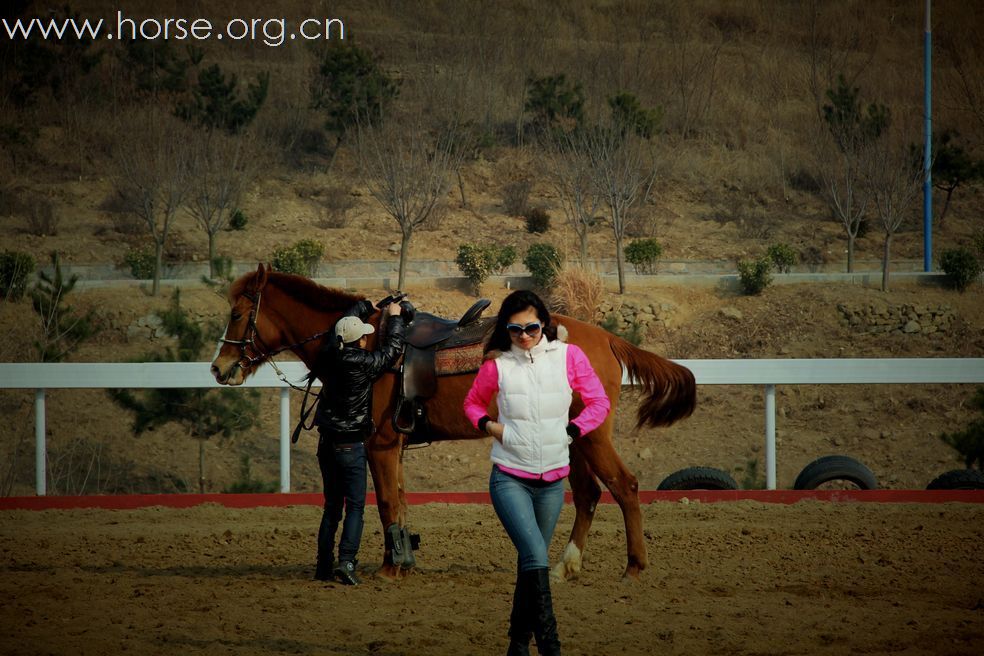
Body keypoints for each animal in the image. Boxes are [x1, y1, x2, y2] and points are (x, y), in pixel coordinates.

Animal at [211, 264, 696, 580]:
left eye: (237, 314)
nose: (219, 368)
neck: (365, 342)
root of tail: (608, 338)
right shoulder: (394, 448)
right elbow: (400, 501)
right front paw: (402, 561)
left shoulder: (379, 445)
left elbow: (386, 502)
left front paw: (389, 570)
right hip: (574, 439)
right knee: (589, 494)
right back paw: (566, 566)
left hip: (592, 435)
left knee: (624, 486)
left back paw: (634, 568)